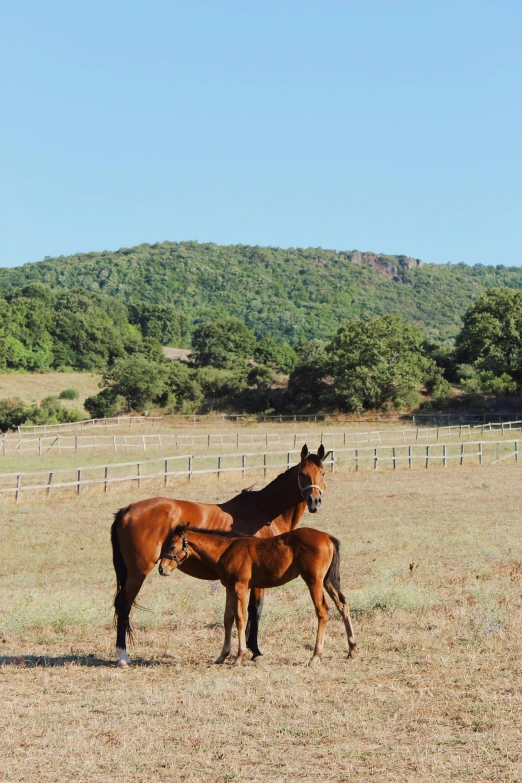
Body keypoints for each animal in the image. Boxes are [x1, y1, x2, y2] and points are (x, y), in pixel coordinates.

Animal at [111, 444, 328, 664]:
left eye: (322, 472)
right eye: (302, 473)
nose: (315, 501)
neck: (264, 510)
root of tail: (126, 510)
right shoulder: (258, 579)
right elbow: (255, 611)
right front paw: (255, 651)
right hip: (138, 572)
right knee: (123, 604)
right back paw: (123, 655)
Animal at [157, 524, 354, 664]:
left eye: (173, 545)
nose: (161, 569)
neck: (226, 550)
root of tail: (327, 536)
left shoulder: (241, 587)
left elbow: (240, 618)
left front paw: (239, 656)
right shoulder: (229, 587)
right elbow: (227, 618)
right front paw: (222, 655)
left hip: (314, 581)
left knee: (322, 611)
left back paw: (315, 656)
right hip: (327, 580)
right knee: (342, 604)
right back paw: (352, 649)